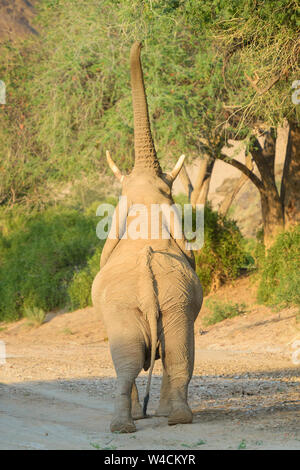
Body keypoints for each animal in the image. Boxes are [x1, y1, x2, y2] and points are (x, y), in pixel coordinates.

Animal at [92, 42, 203, 432]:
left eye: (166, 189)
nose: (139, 43)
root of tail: (146, 283)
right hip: (174, 304)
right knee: (178, 354)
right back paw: (175, 419)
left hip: (146, 306)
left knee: (129, 364)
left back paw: (126, 426)